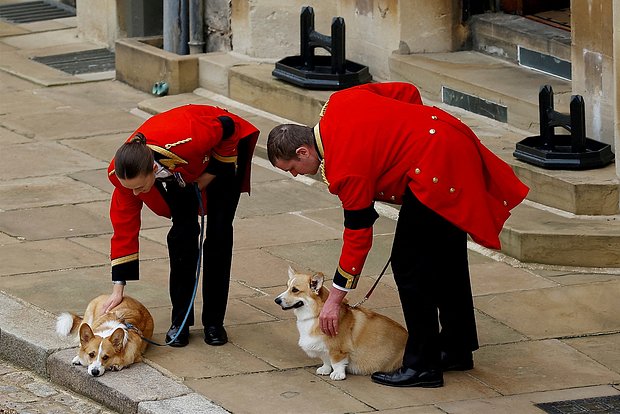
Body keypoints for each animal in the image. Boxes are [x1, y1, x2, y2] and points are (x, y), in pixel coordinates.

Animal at [274, 266, 410, 380]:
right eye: (287, 287)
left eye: (295, 290)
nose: (276, 300)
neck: (316, 315)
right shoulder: (323, 347)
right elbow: (326, 359)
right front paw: (325, 369)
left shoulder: (338, 350)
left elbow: (337, 362)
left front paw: (337, 374)